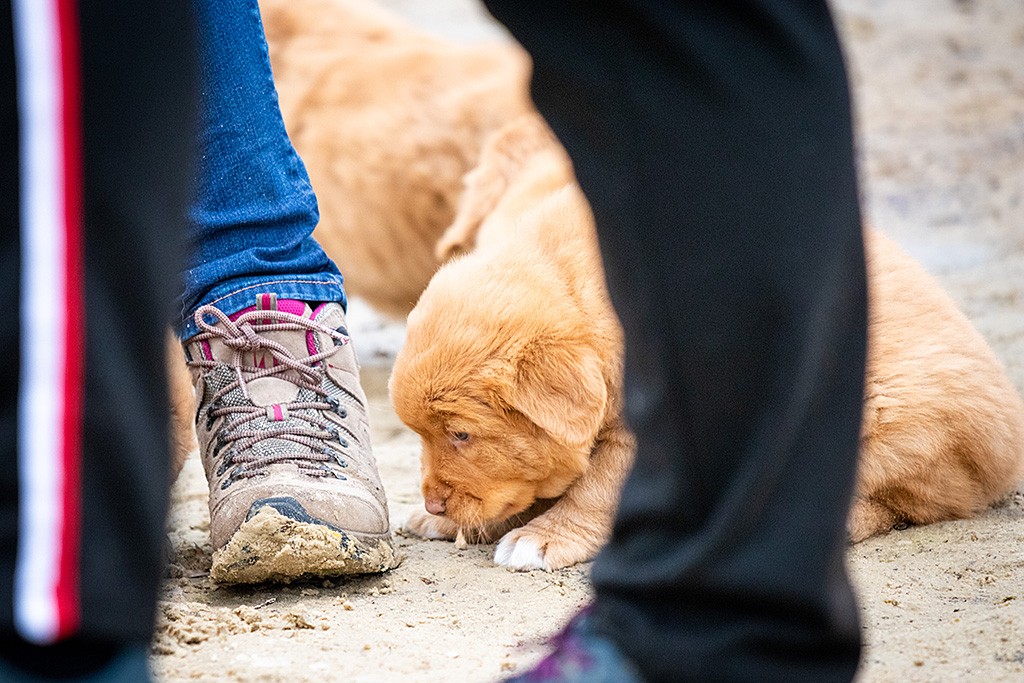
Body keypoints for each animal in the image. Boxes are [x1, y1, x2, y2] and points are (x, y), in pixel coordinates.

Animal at [395, 113, 1024, 573]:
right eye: (425, 435)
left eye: (462, 434)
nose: (432, 502)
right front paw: (448, 524)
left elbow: (595, 489)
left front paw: (544, 537)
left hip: (877, 415)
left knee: (898, 501)